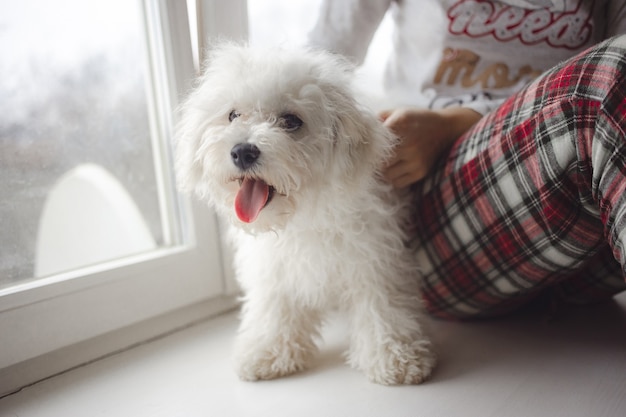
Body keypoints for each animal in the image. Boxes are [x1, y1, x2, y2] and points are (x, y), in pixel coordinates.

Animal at [173, 43, 432, 384]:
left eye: (292, 121)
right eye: (232, 115)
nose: (242, 151)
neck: (304, 215)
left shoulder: (374, 255)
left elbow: (381, 303)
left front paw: (395, 356)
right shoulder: (275, 264)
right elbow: (276, 304)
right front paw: (268, 350)